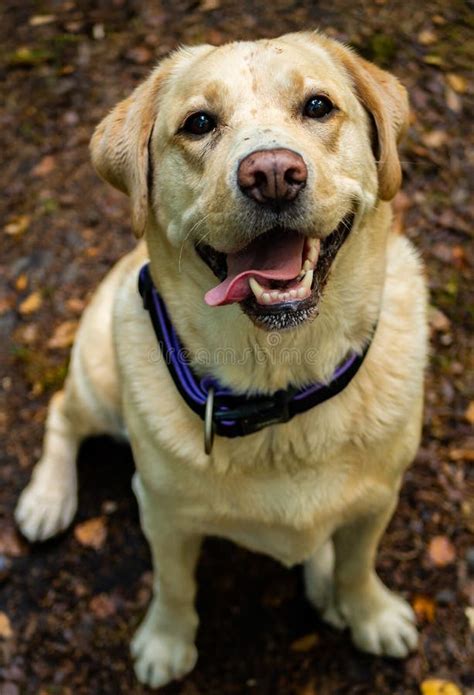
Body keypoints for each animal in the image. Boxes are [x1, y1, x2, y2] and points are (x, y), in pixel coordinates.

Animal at [16, 31, 428, 692]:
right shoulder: (165, 516)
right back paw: (47, 499)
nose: (273, 175)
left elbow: (356, 565)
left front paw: (369, 612)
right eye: (199, 123)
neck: (280, 385)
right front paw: (166, 642)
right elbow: (174, 585)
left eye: (318, 106)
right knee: (61, 412)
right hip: (99, 383)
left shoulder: (377, 501)